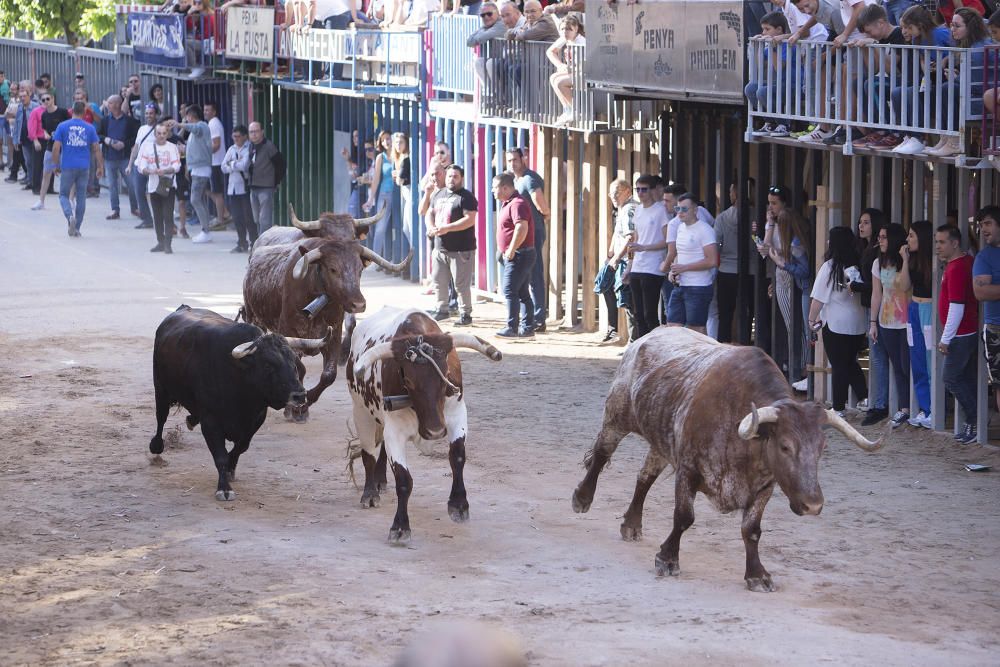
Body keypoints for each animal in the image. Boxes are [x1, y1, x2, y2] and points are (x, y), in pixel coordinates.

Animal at [350, 308, 504, 544]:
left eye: (446, 376)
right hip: (361, 413)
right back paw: (370, 493)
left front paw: (459, 505)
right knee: (368, 454)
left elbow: (457, 458)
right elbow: (404, 479)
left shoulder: (457, 415)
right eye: (409, 382)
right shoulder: (394, 430)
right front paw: (400, 526)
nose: (435, 431)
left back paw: (380, 481)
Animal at [572, 326, 884, 592]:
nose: (813, 505)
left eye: (822, 446)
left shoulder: (765, 486)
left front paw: (757, 575)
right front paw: (668, 559)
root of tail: (647, 337)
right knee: (601, 454)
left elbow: (752, 530)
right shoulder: (688, 470)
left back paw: (631, 524)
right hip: (617, 415)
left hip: (660, 441)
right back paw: (582, 498)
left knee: (644, 477)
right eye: (785, 446)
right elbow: (683, 517)